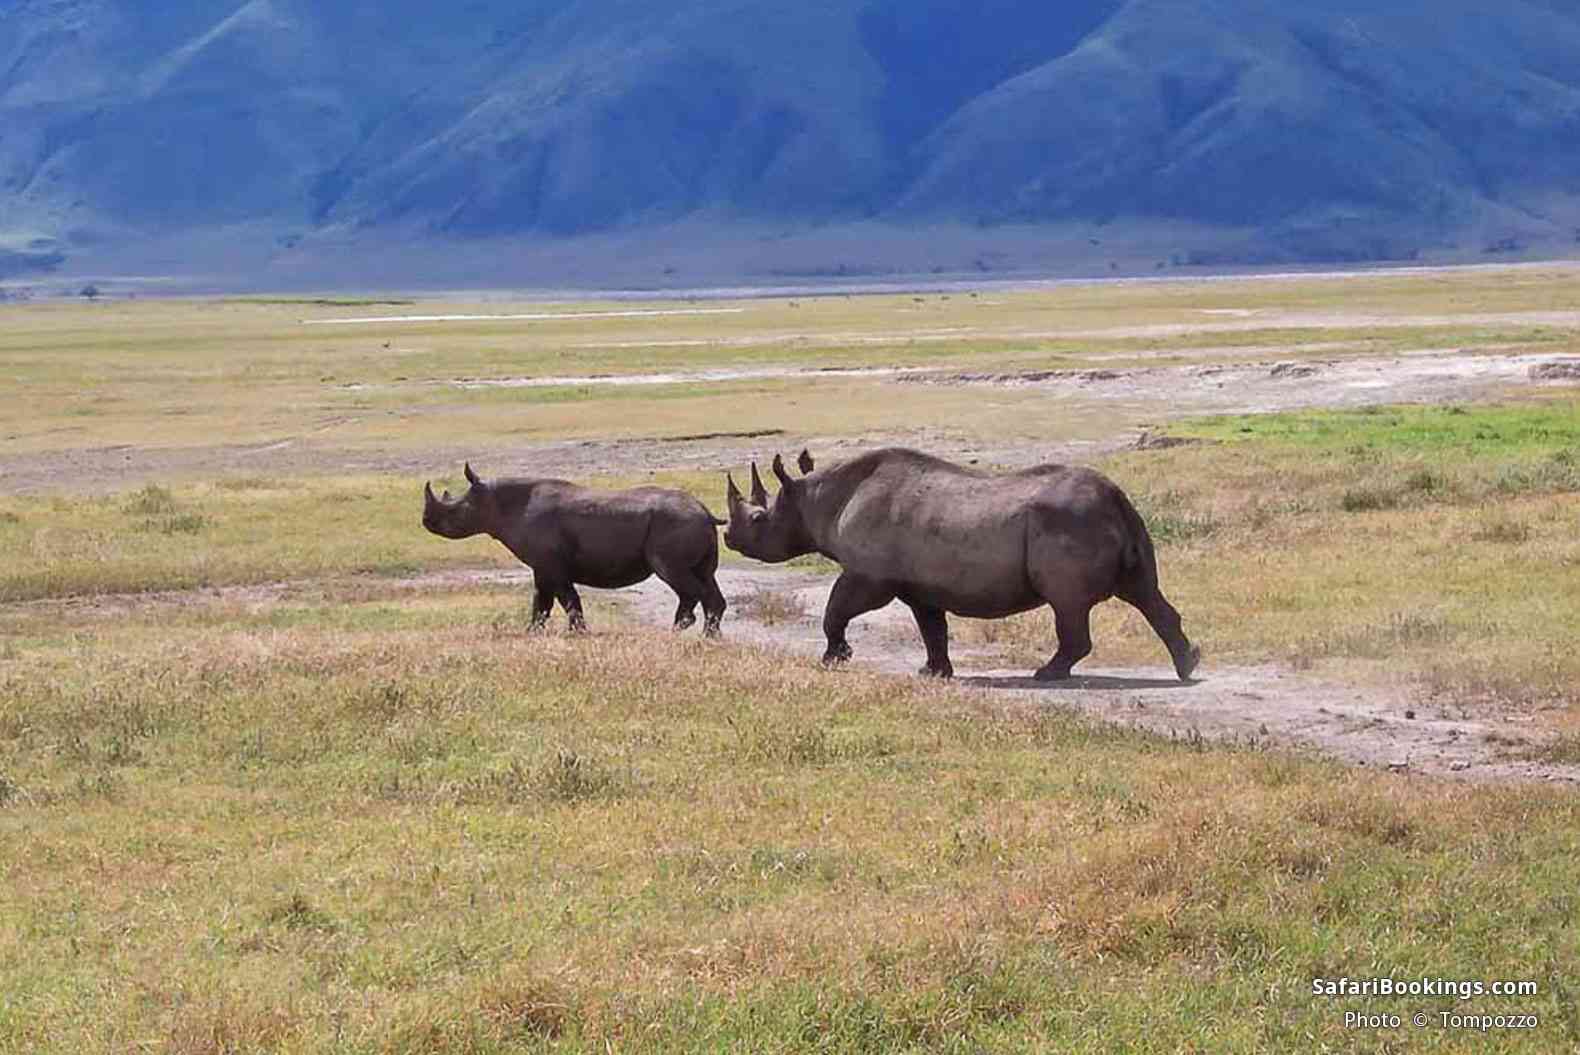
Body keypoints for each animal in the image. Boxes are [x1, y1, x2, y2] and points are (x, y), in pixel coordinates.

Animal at [423, 463, 727, 635]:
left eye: (454, 512)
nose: (426, 523)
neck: (495, 503)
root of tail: (705, 511)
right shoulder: (542, 566)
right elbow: (541, 602)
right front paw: (532, 632)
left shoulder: (552, 565)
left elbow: (567, 599)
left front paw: (578, 633)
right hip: (690, 524)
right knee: (706, 576)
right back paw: (706, 636)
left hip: (675, 525)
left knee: (675, 574)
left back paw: (683, 630)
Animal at [723, 448, 1198, 681]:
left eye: (759, 519)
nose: (729, 538)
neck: (816, 499)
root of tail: (1115, 494)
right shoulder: (916, 584)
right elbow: (932, 627)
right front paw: (933, 672)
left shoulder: (870, 575)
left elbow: (835, 609)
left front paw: (834, 659)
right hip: (1111, 519)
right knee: (1144, 592)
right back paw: (1188, 666)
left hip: (1070, 522)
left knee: (1069, 605)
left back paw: (1046, 675)